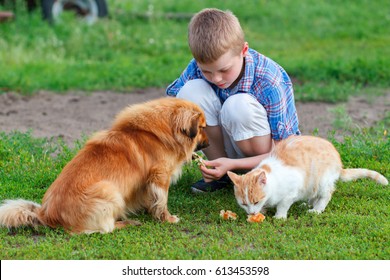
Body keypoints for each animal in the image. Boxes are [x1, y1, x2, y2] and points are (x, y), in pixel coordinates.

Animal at [227, 135, 388, 219]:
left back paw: (316, 209)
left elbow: (283, 204)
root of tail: (338, 162)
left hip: (322, 180)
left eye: (255, 201)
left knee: (326, 194)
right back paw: (308, 203)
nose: (251, 213)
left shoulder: (292, 188)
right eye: (243, 204)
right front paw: (261, 212)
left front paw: (279, 216)